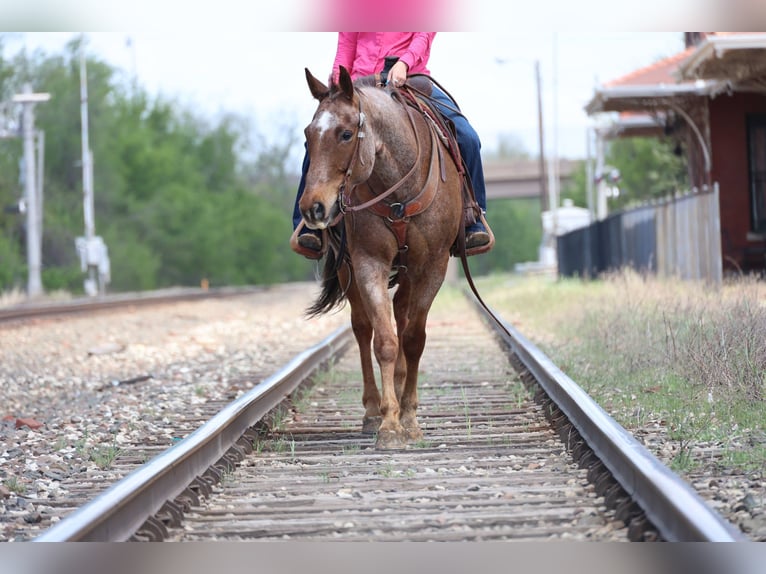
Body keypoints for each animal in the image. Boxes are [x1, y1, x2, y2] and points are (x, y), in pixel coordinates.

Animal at [298, 65, 471, 449]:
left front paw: (409, 418)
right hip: (349, 272)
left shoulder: (433, 266)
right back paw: (372, 411)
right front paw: (390, 423)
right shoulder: (368, 263)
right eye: (307, 136)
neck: (398, 188)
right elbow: (385, 342)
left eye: (346, 133)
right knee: (364, 329)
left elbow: (414, 339)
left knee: (403, 318)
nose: (313, 208)